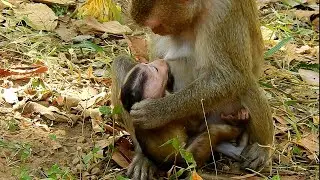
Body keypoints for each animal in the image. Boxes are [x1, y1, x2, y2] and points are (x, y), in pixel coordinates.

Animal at [120, 59, 250, 169]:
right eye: (155, 70)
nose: (161, 60)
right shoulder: (173, 120)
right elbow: (195, 124)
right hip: (188, 158)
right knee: (212, 133)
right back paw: (238, 128)